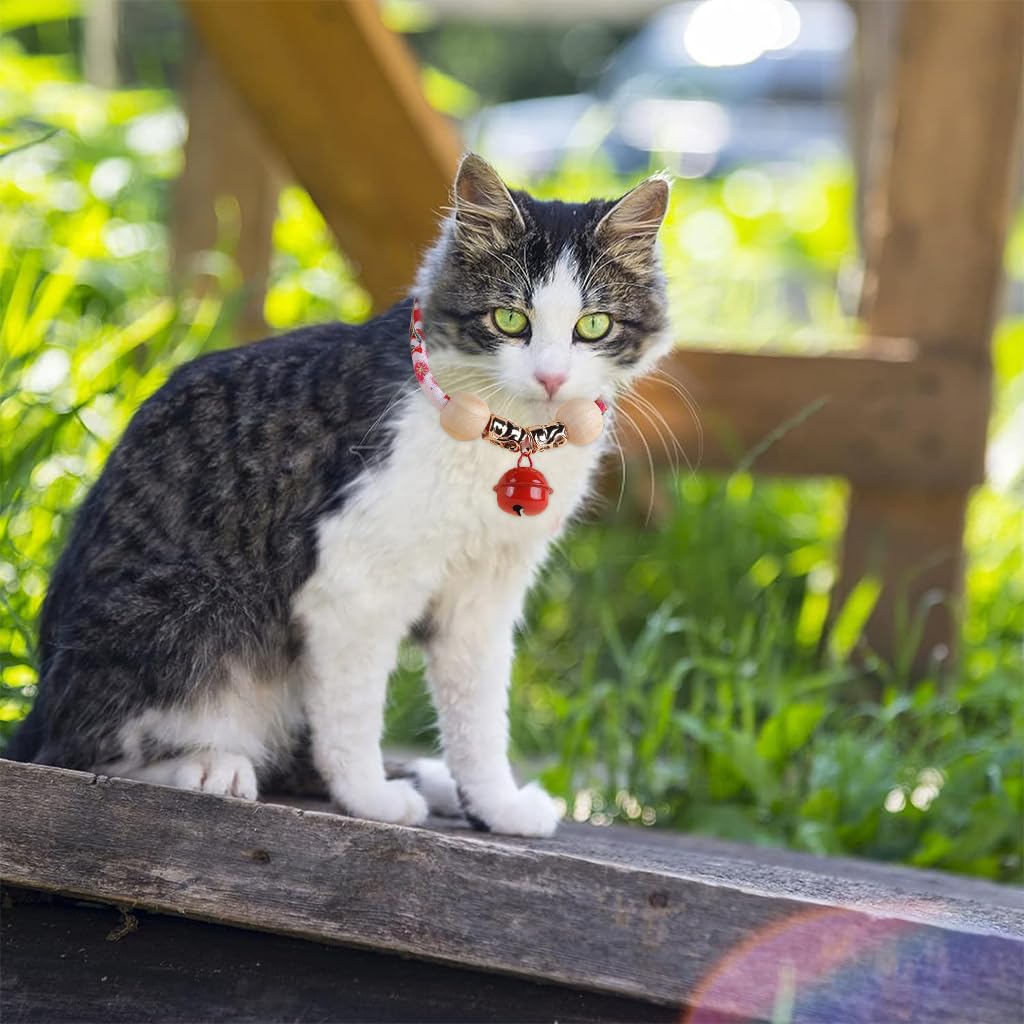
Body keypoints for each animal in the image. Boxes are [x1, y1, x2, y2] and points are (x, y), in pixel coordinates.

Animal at [4, 155, 671, 835]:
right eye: (511, 319)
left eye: (593, 325)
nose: (552, 376)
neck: (511, 437)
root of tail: (41, 703)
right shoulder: (353, 583)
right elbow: (351, 718)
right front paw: (371, 800)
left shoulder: (482, 598)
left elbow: (479, 722)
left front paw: (497, 806)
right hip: (185, 616)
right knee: (85, 752)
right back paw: (211, 765)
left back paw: (432, 781)